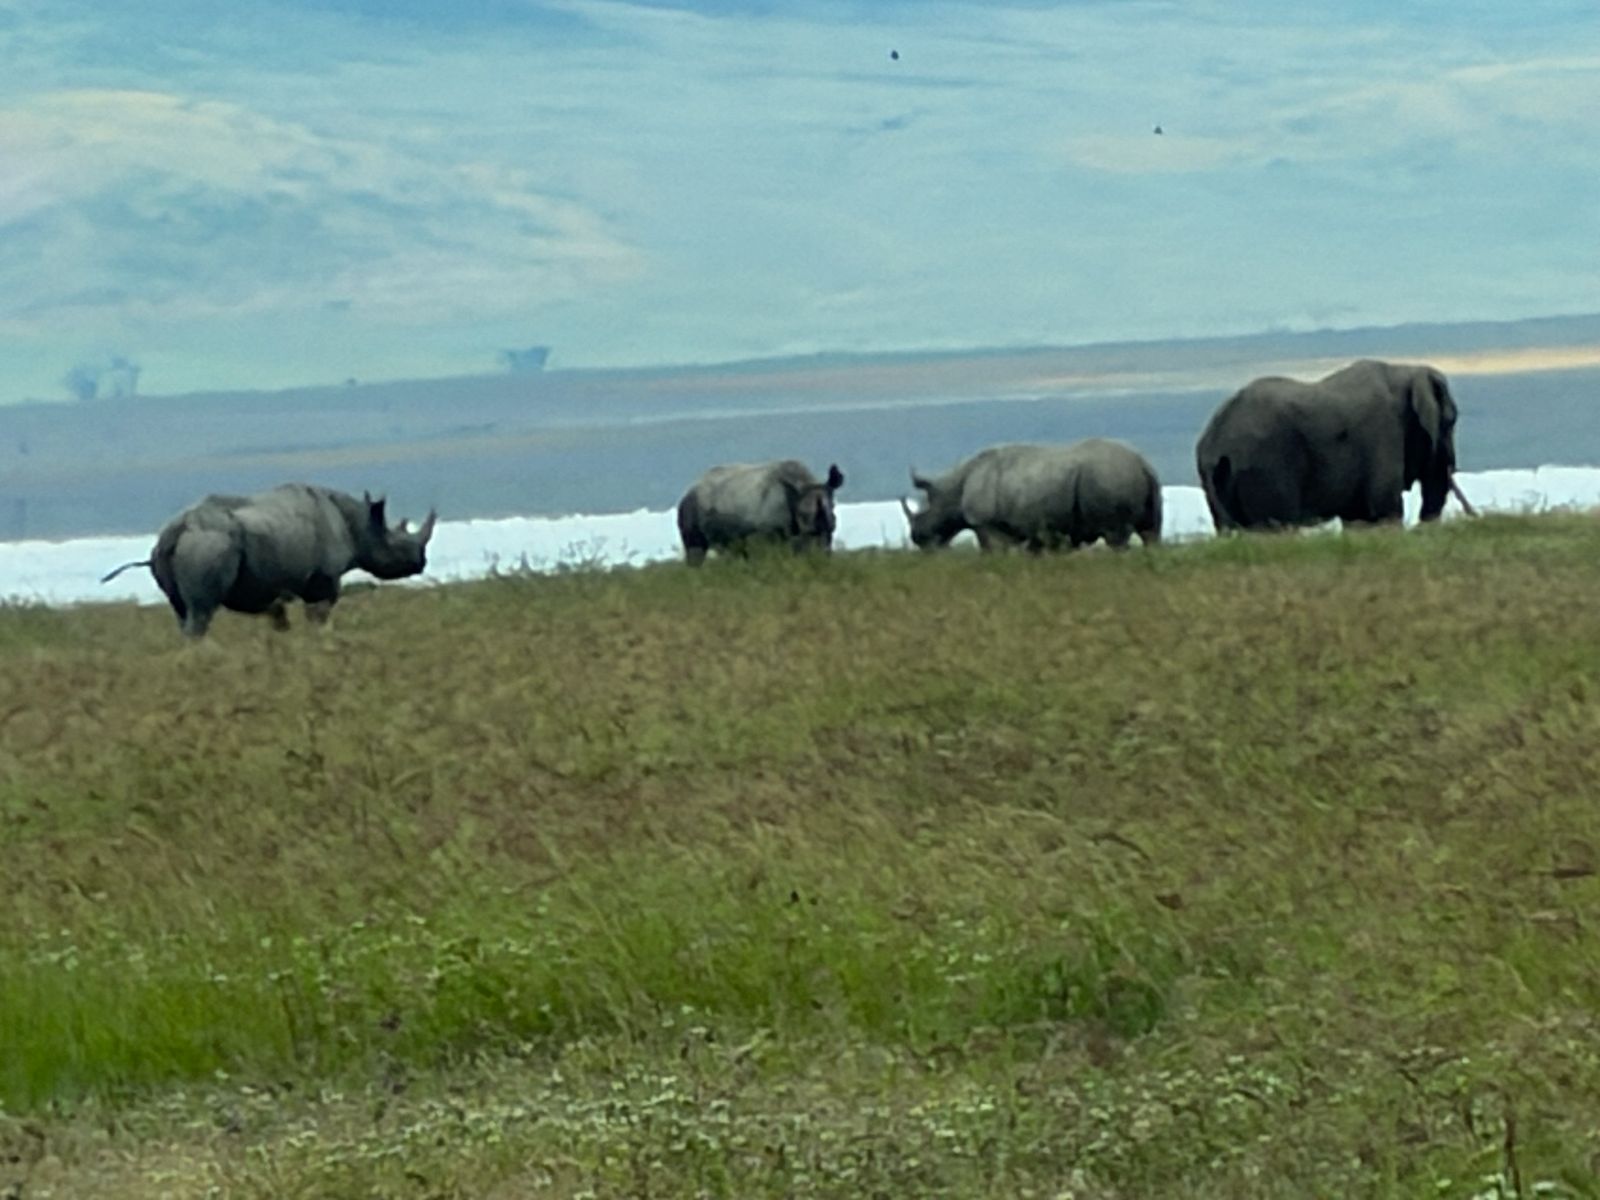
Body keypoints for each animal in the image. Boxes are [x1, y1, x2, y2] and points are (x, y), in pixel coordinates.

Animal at [100, 483, 437, 639]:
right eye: (398, 545)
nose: (421, 562)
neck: (359, 523)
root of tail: (174, 531)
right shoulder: (324, 580)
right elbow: (320, 617)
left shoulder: (273, 587)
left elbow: (279, 620)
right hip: (211, 543)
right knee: (201, 611)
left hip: (176, 551)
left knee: (182, 611)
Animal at [677, 460, 846, 566]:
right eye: (803, 516)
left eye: (834, 509)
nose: (824, 527)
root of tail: (688, 490)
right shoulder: (768, 536)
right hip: (690, 506)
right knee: (696, 550)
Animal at [900, 438, 1163, 552]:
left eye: (923, 515)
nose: (917, 539)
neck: (951, 489)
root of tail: (1143, 464)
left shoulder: (985, 524)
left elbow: (991, 551)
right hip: (1134, 480)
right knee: (1150, 532)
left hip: (1108, 477)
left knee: (1115, 537)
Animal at [1195, 359, 1471, 531]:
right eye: (1450, 422)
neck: (1403, 370)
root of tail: (1214, 443)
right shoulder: (1383, 433)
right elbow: (1384, 508)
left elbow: (1359, 518)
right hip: (1265, 469)